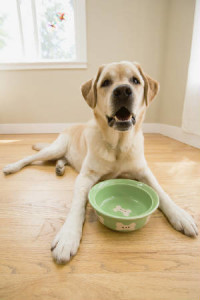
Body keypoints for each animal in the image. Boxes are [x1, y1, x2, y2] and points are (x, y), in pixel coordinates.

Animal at [2, 60, 197, 262]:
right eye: (105, 82)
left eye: (135, 80)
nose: (123, 91)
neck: (118, 145)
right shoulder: (85, 177)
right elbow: (77, 205)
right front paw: (68, 237)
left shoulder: (143, 171)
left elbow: (162, 192)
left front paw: (180, 215)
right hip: (54, 150)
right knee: (30, 158)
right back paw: (13, 166)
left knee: (63, 159)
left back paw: (59, 168)